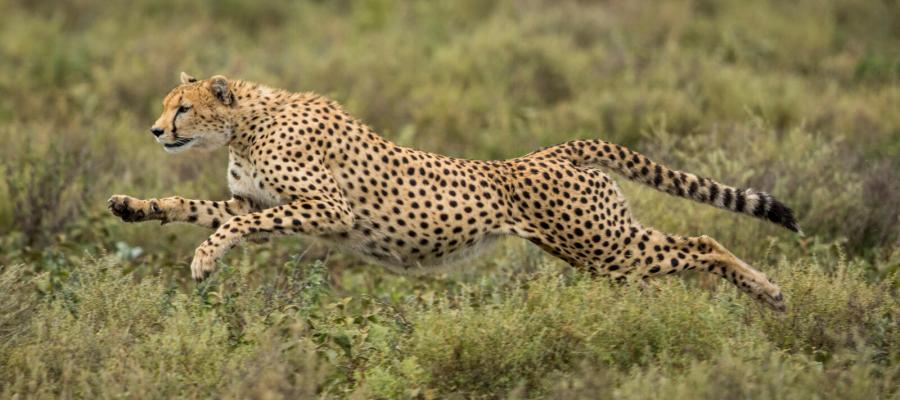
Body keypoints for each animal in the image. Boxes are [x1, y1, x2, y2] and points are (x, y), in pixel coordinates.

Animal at [107, 73, 800, 310]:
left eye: (183, 107)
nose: (155, 130)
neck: (247, 122)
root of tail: (553, 150)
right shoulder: (257, 201)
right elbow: (198, 208)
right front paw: (135, 206)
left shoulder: (325, 209)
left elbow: (232, 226)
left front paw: (204, 260)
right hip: (599, 246)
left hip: (606, 248)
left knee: (704, 241)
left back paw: (768, 291)